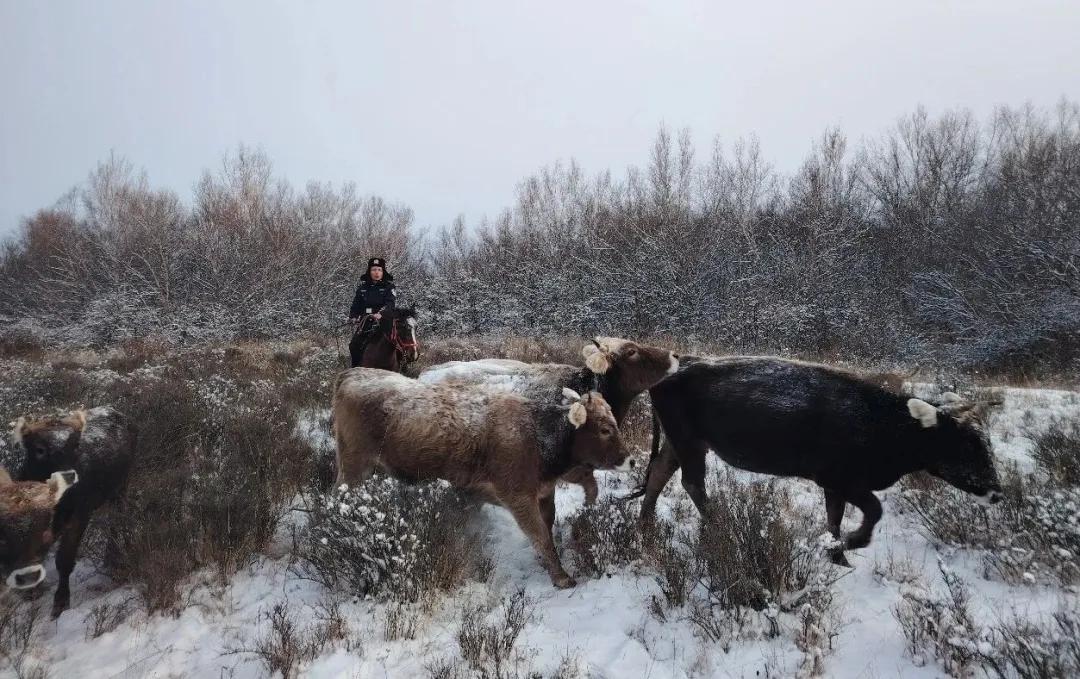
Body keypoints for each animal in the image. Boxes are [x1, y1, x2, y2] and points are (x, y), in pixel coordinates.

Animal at [330, 367, 630, 587]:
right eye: (604, 429)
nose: (630, 459)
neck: (537, 436)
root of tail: (352, 373)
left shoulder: (541, 492)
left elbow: (550, 525)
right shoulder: (517, 497)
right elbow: (541, 536)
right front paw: (562, 577)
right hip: (354, 467)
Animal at [630, 354, 1002, 561]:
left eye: (986, 443)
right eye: (965, 444)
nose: (997, 492)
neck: (880, 422)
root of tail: (677, 366)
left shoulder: (835, 485)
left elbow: (833, 518)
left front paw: (836, 553)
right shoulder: (840, 478)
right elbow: (873, 511)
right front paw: (852, 542)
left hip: (680, 442)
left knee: (659, 473)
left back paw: (646, 528)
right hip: (688, 442)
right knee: (692, 482)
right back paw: (720, 527)